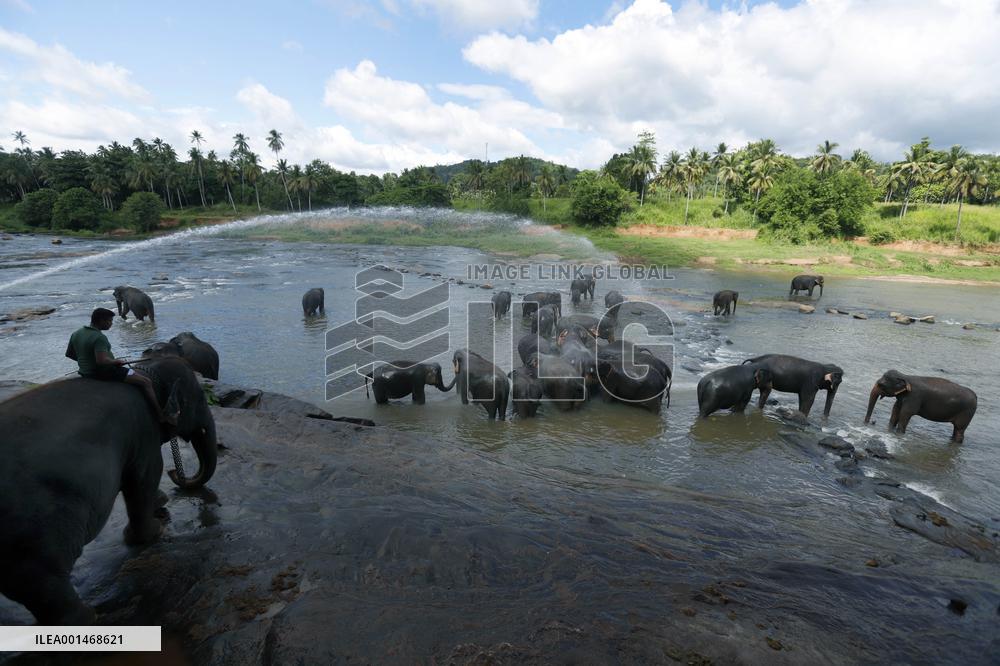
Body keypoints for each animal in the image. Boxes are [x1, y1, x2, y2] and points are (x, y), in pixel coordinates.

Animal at [0, 356, 217, 624]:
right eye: (200, 400)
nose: (175, 473)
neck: (148, 370)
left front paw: (161, 502)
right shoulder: (143, 432)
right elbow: (146, 476)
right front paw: (154, 530)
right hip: (33, 527)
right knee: (42, 579)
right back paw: (88, 618)